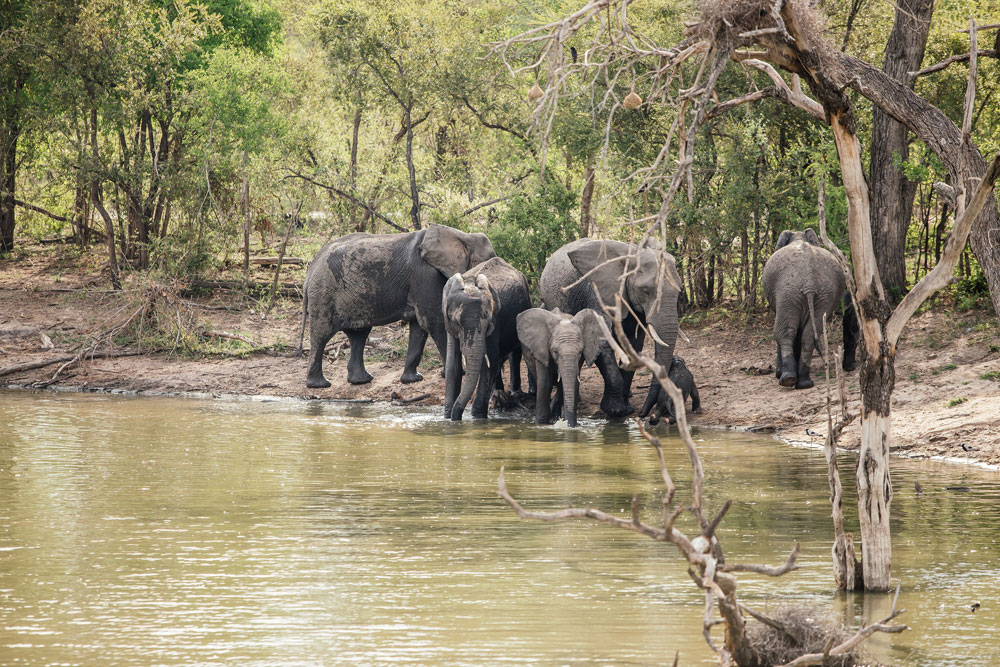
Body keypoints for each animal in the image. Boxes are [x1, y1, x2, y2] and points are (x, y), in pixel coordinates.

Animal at [300, 226, 496, 392]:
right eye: (486, 262)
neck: (463, 236)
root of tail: (310, 270)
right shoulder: (425, 275)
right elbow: (434, 322)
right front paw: (455, 374)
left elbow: (419, 326)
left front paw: (413, 379)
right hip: (324, 293)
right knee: (322, 334)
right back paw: (319, 385)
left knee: (359, 335)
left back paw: (361, 380)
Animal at [440, 258, 528, 420]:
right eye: (457, 323)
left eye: (486, 324)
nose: (457, 417)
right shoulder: (448, 323)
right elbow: (453, 365)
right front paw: (448, 418)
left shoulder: (495, 322)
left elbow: (489, 364)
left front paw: (477, 417)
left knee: (514, 354)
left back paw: (514, 394)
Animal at [540, 239, 688, 418]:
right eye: (645, 290)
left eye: (679, 290)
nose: (642, 414)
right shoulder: (597, 294)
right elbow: (602, 341)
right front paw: (616, 410)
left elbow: (634, 344)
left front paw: (627, 409)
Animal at [760, 228, 856, 388]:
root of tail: (809, 282)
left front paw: (778, 374)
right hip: (823, 294)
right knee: (809, 335)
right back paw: (804, 383)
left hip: (788, 292)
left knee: (784, 332)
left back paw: (787, 379)